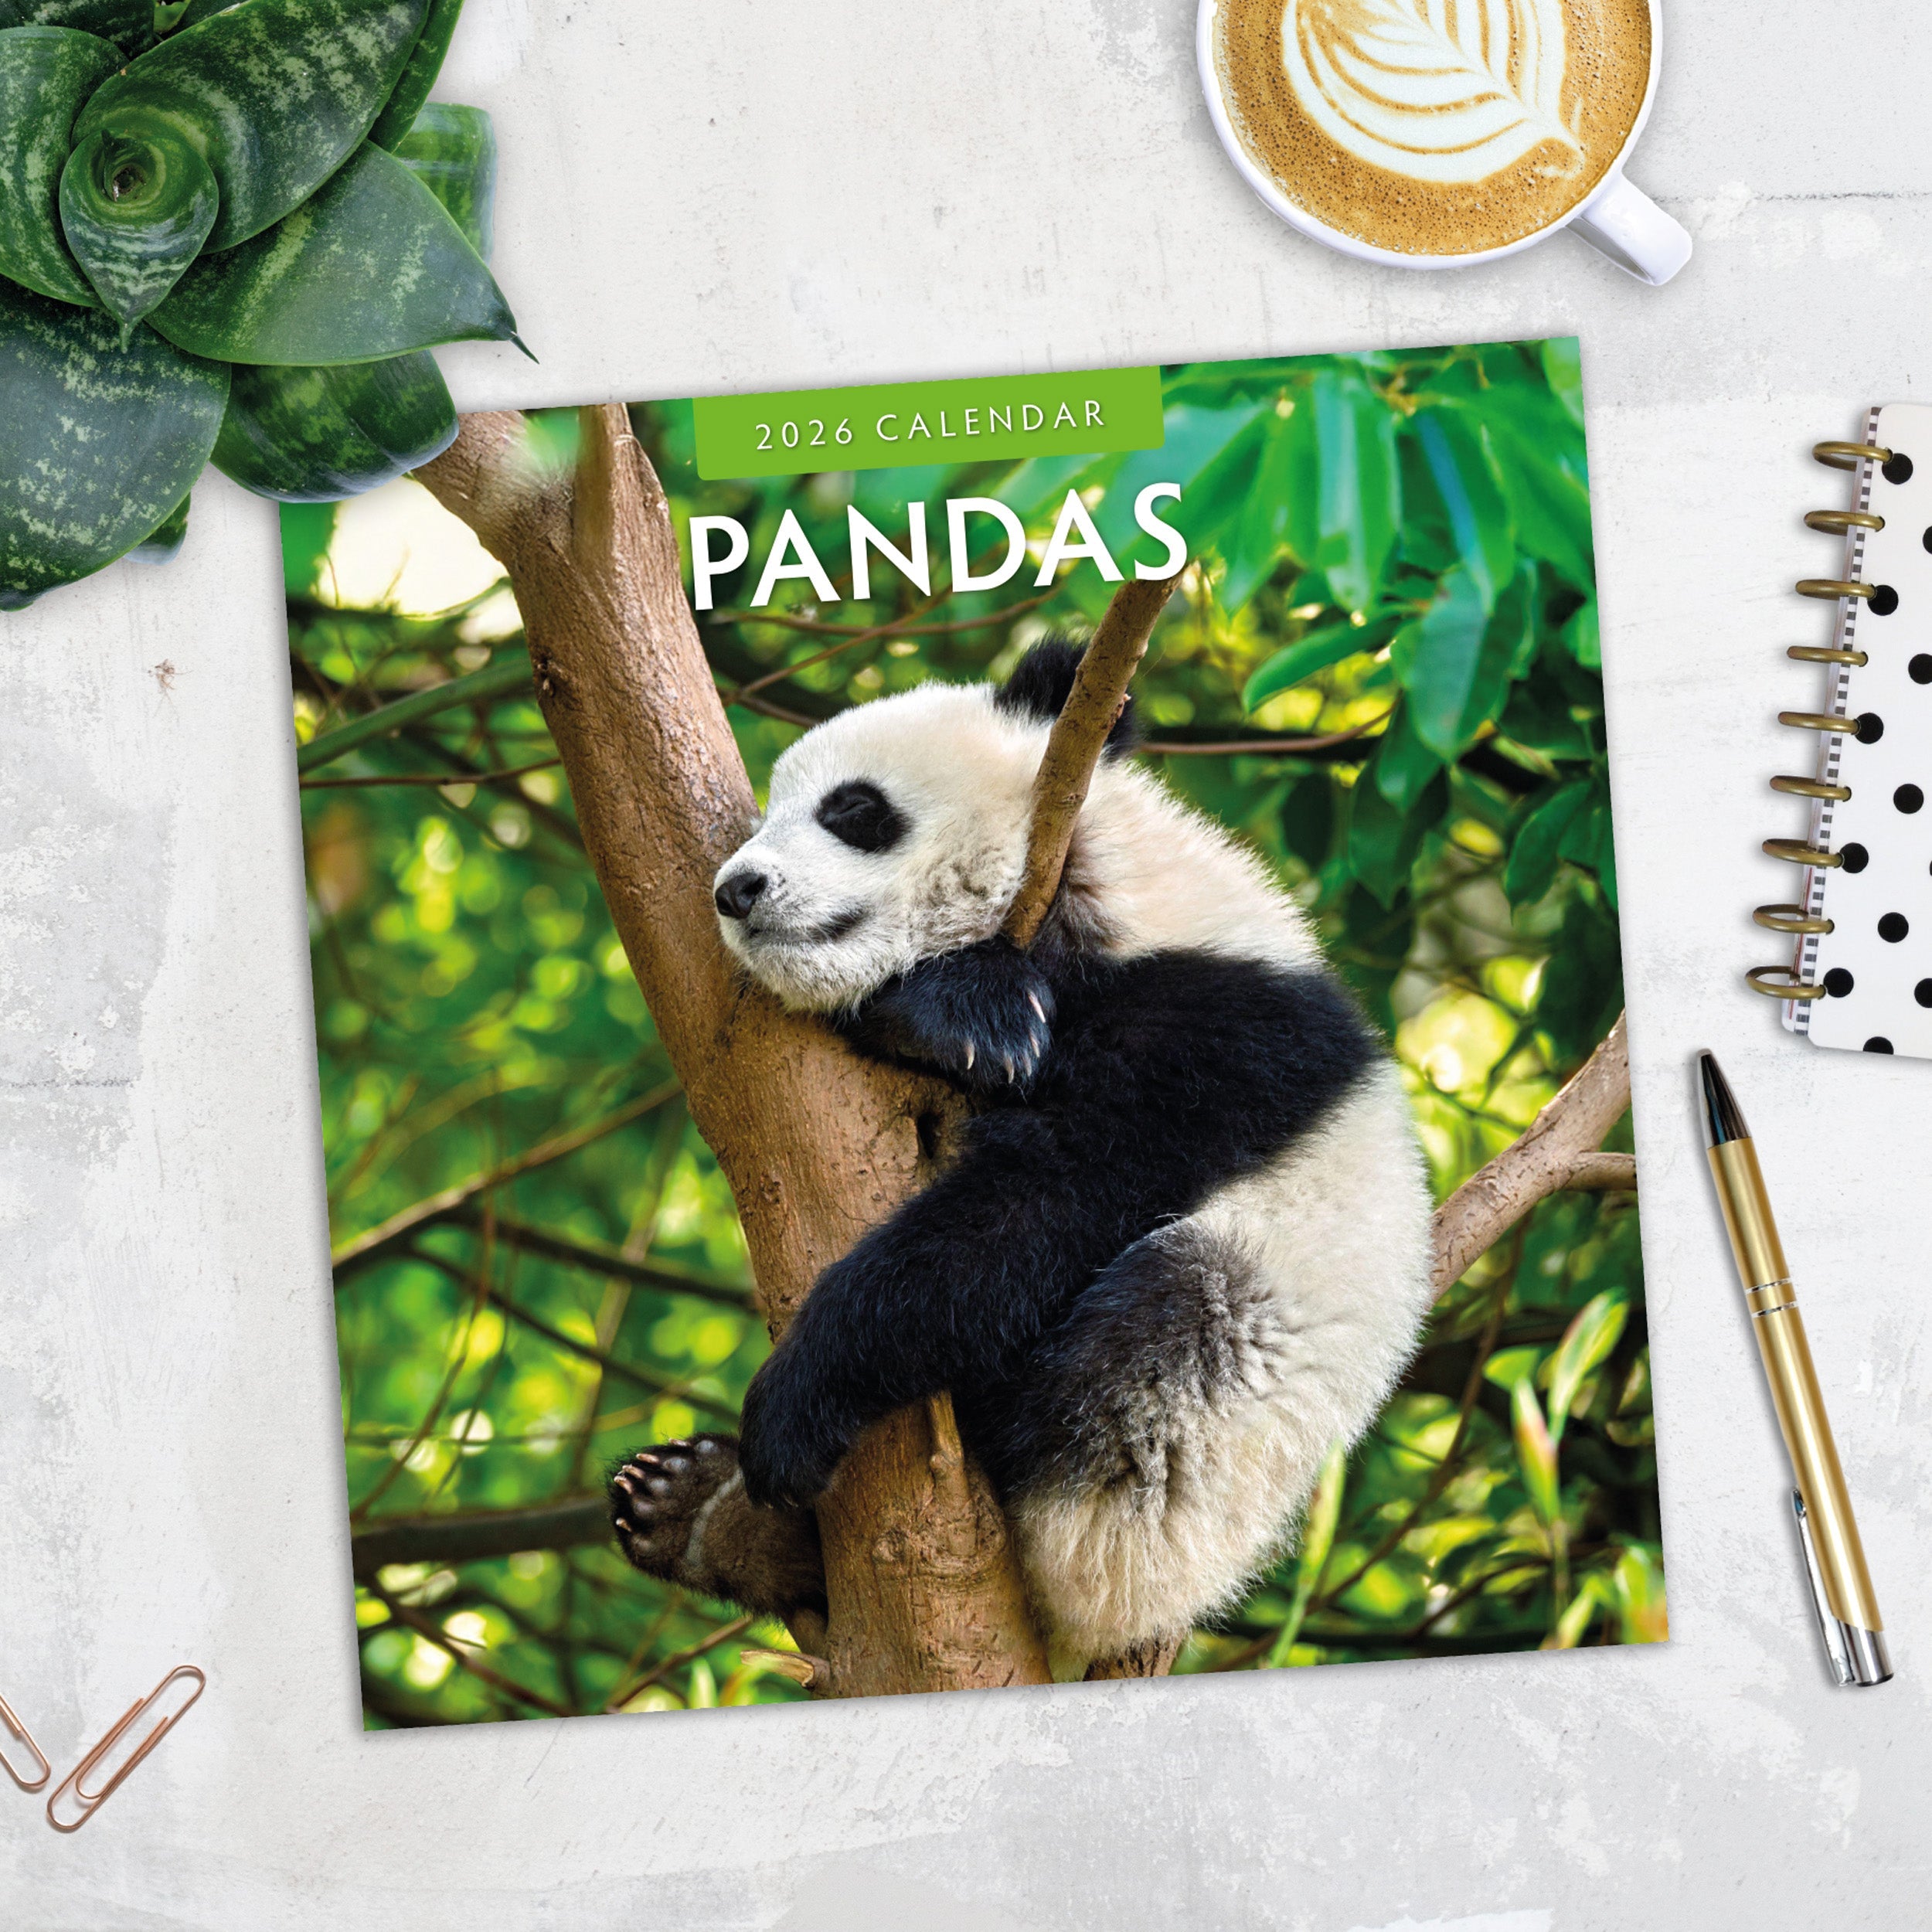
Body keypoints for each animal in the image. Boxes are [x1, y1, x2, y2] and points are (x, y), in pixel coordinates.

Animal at [609, 641, 1435, 1677]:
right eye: (765, 817)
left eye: (853, 810)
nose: (737, 889)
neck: (1094, 883)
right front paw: (959, 1020)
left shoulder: (1217, 1028)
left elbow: (1048, 1197)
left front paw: (798, 1397)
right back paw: (690, 1508)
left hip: (1217, 1423)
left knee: (1155, 1338)